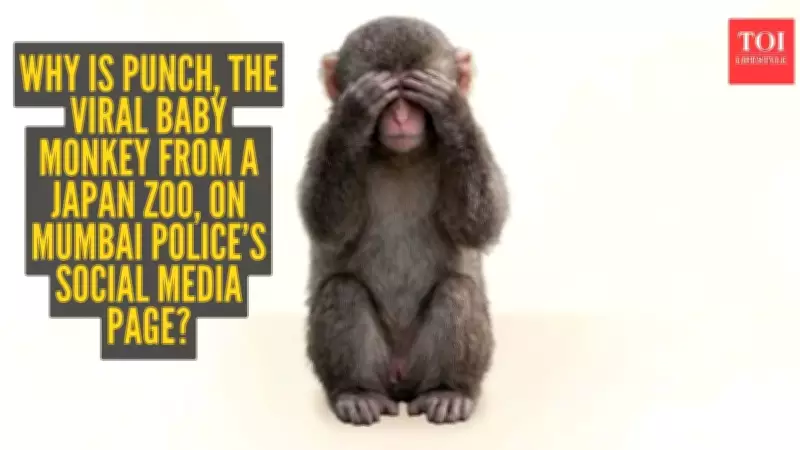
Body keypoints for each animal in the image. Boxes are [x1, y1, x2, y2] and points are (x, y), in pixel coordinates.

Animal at [299, 16, 509, 426]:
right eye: (387, 97)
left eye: (412, 96)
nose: (399, 117)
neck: (401, 156)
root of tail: (400, 383)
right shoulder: (320, 140)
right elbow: (326, 223)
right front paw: (353, 115)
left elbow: (481, 223)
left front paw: (452, 110)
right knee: (342, 290)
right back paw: (356, 392)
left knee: (458, 291)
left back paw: (448, 390)